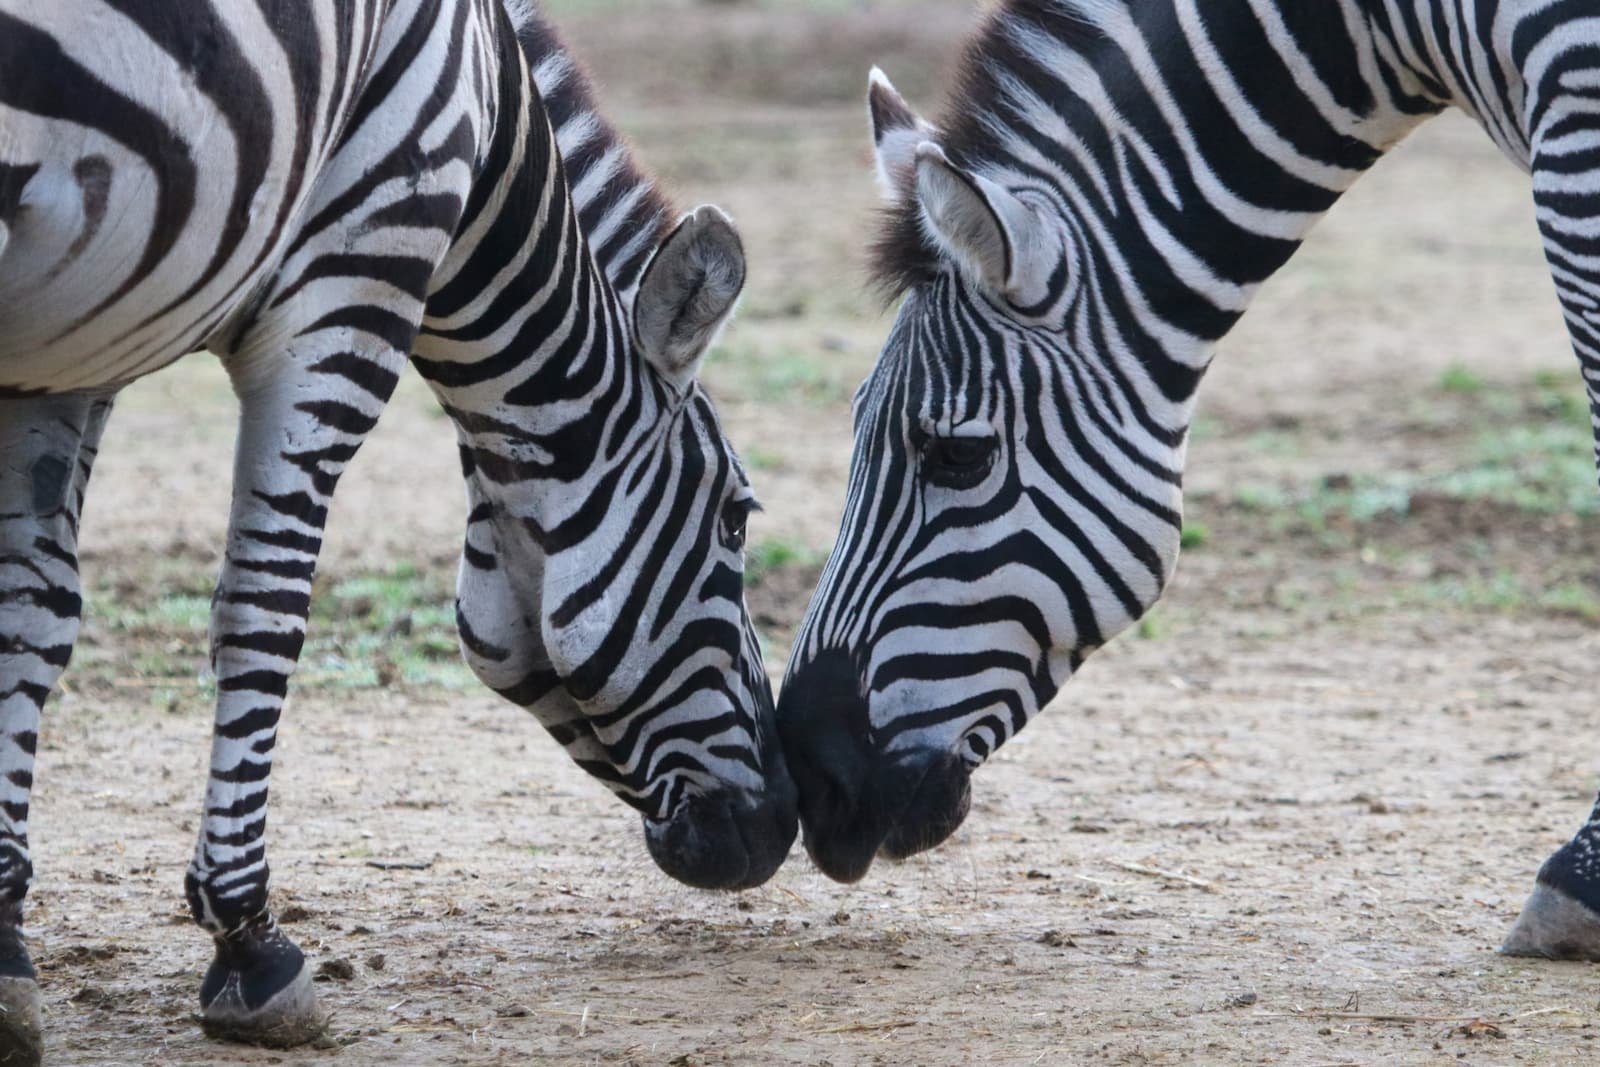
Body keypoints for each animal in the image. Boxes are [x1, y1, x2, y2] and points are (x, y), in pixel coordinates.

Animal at [0, 0, 795, 1058]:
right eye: (738, 520)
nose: (783, 821)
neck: (491, 124)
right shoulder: (353, 278)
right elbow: (263, 611)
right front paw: (251, 944)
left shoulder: (75, 341)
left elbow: (32, 614)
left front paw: (5, 946)